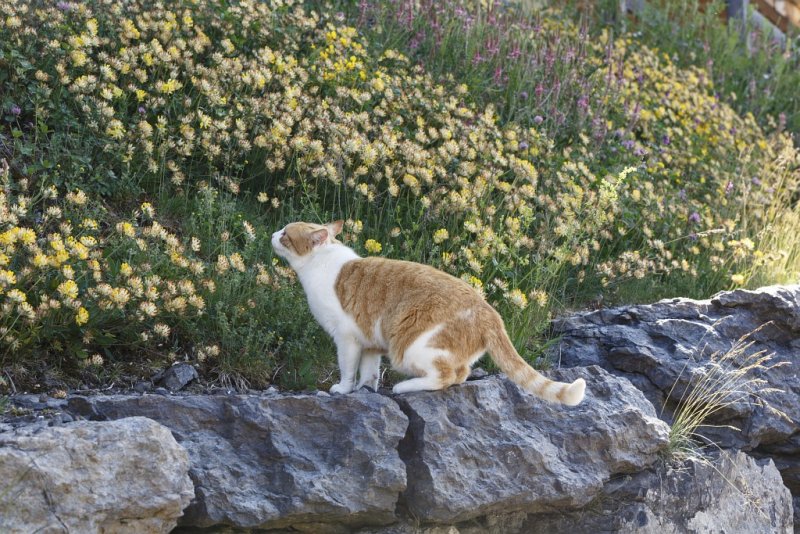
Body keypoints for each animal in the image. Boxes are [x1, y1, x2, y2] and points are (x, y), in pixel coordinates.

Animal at [274, 219, 588, 406]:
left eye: (286, 234)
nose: (273, 234)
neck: (320, 262)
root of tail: (489, 312)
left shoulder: (347, 339)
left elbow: (348, 368)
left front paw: (343, 389)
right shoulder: (371, 342)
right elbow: (369, 372)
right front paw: (366, 389)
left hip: (411, 348)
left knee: (446, 376)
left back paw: (405, 387)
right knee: (462, 373)